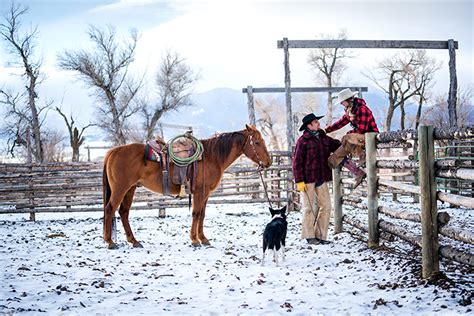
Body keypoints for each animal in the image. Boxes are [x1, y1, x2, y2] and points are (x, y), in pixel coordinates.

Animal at [102, 123, 272, 249]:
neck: (212, 156)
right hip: (120, 189)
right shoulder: (199, 192)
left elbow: (202, 214)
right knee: (110, 209)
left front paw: (204, 239)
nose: (268, 162)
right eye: (257, 142)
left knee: (123, 212)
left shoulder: (206, 193)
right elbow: (196, 213)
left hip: (130, 189)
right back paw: (110, 242)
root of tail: (113, 151)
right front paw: (195, 240)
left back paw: (134, 241)